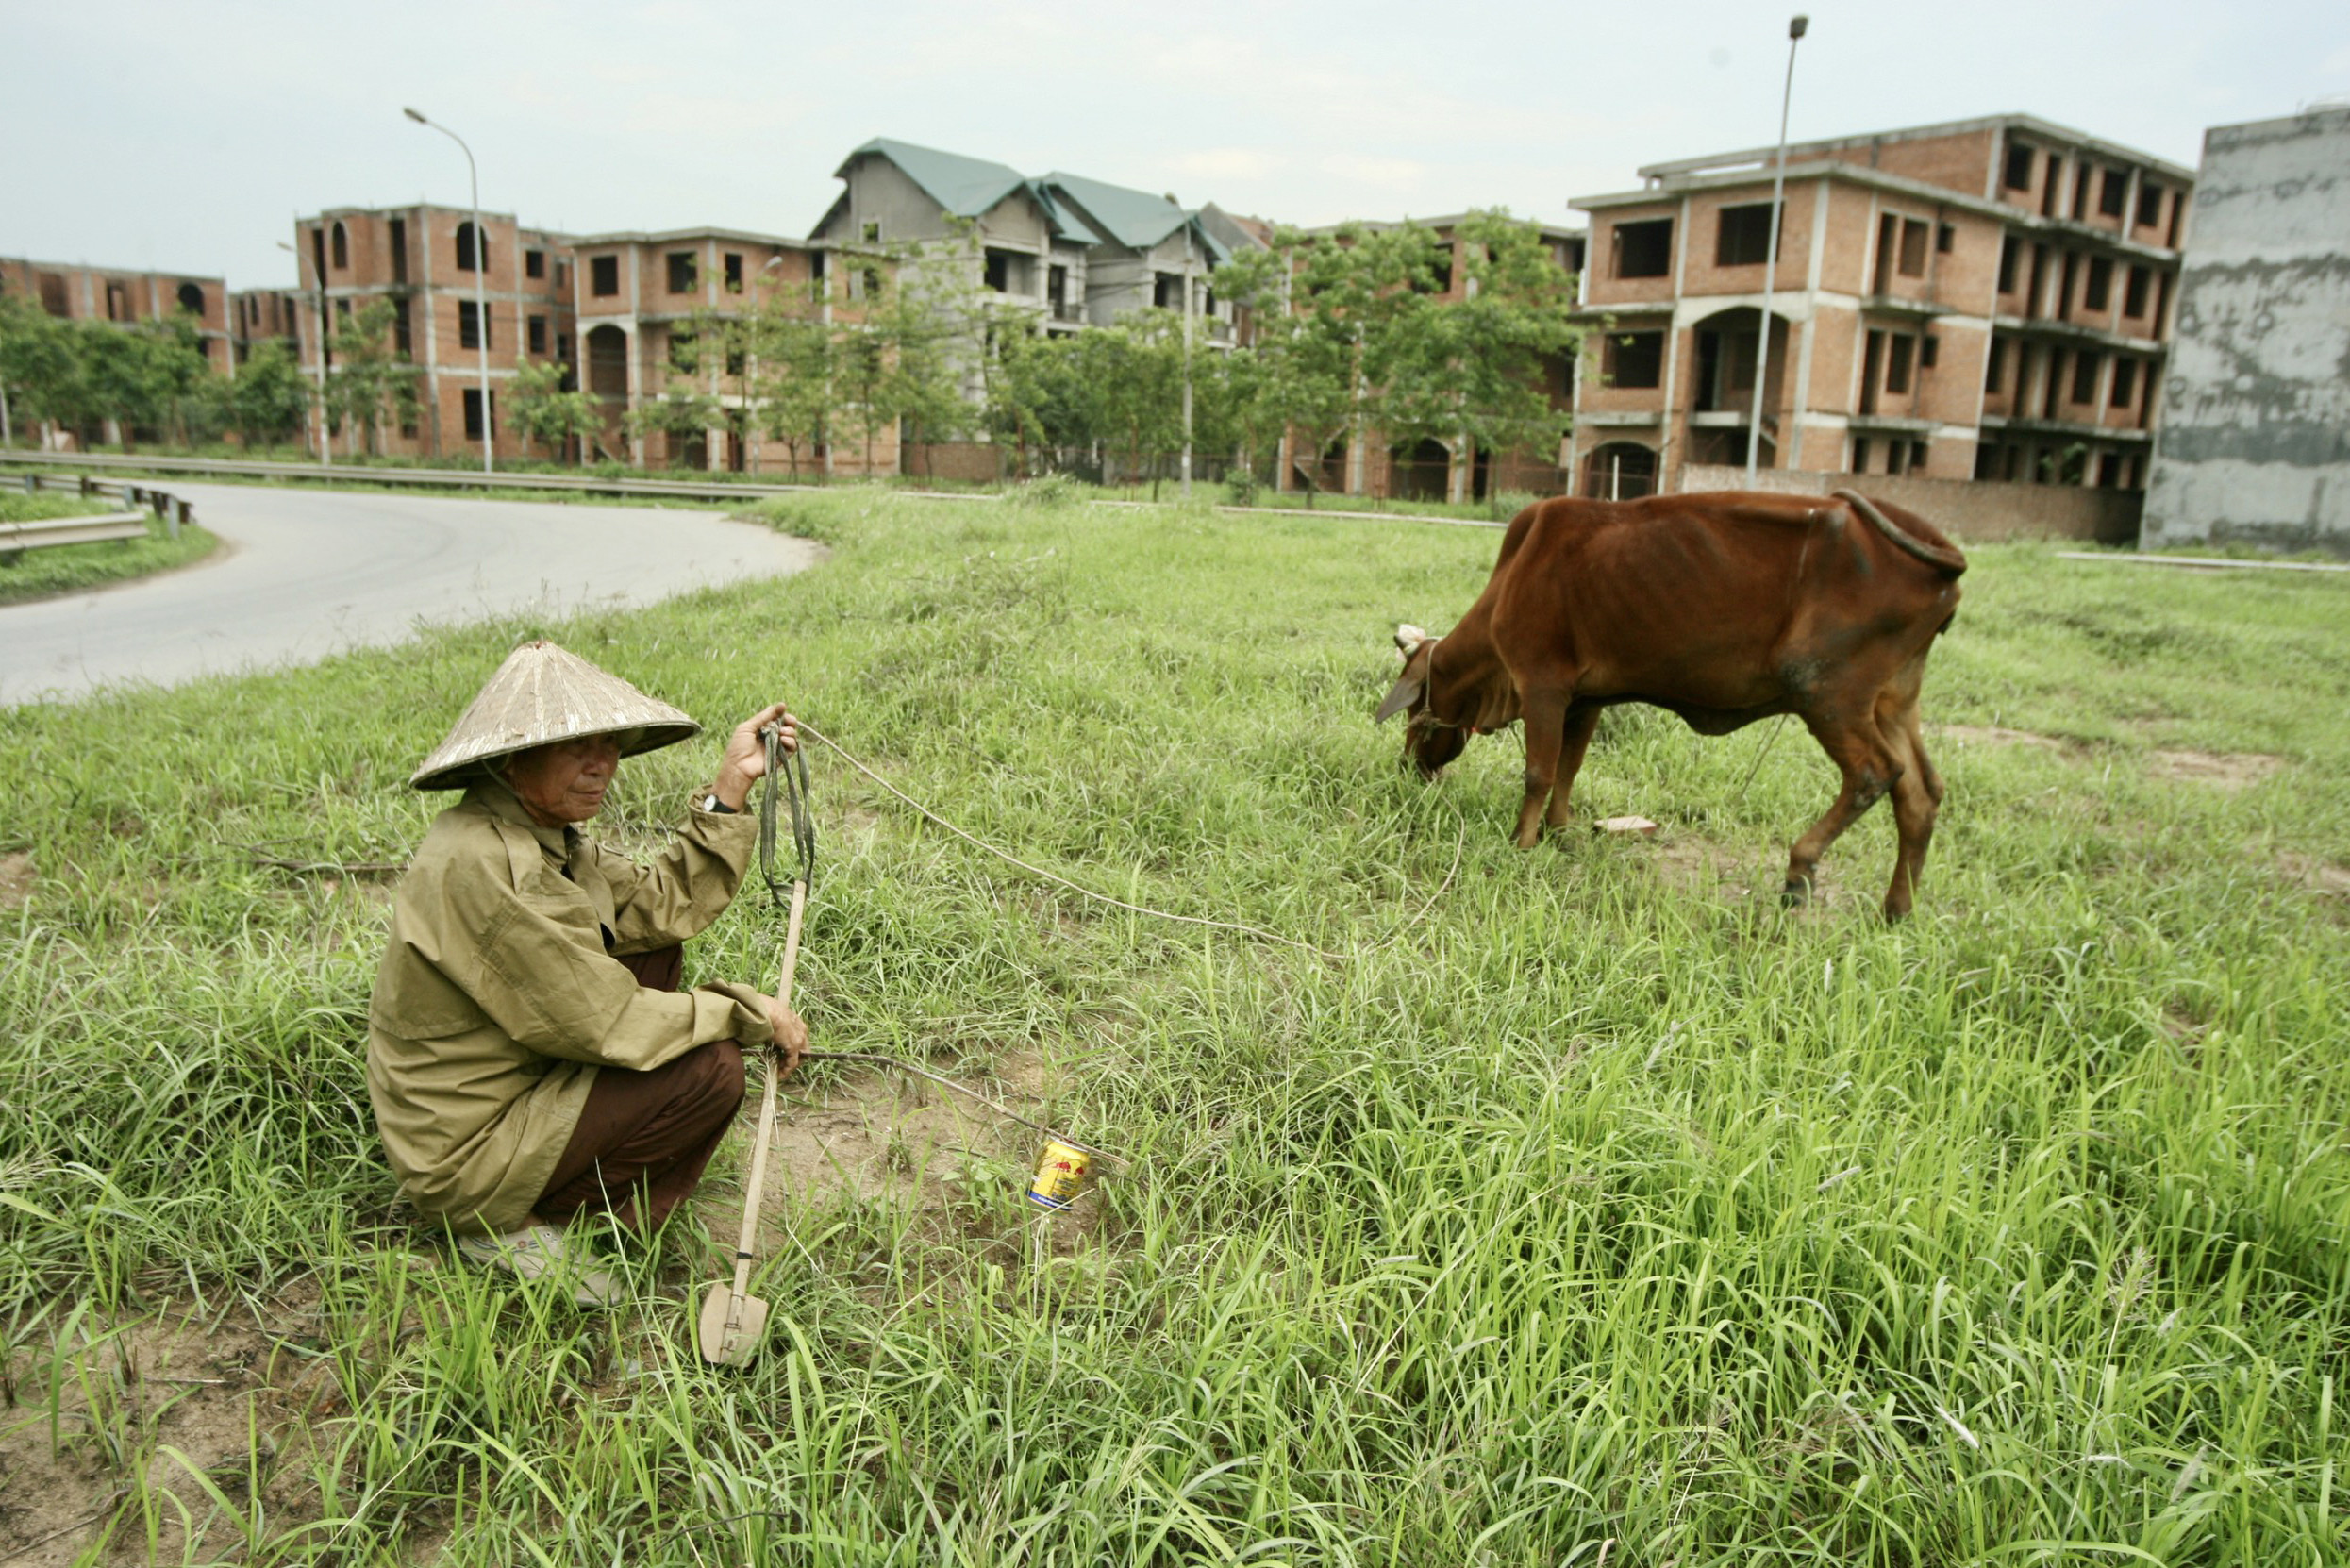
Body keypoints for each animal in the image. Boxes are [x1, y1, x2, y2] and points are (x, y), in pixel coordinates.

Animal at [1372, 491, 1964, 921]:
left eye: (1413, 713)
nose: (1408, 767)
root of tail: (1937, 551)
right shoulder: (1586, 700)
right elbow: (1569, 768)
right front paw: (1561, 835)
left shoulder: (1543, 686)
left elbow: (1539, 773)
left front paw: (1522, 843)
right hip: (1892, 699)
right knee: (1920, 792)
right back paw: (1897, 908)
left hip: (1826, 692)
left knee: (1874, 774)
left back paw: (1799, 874)